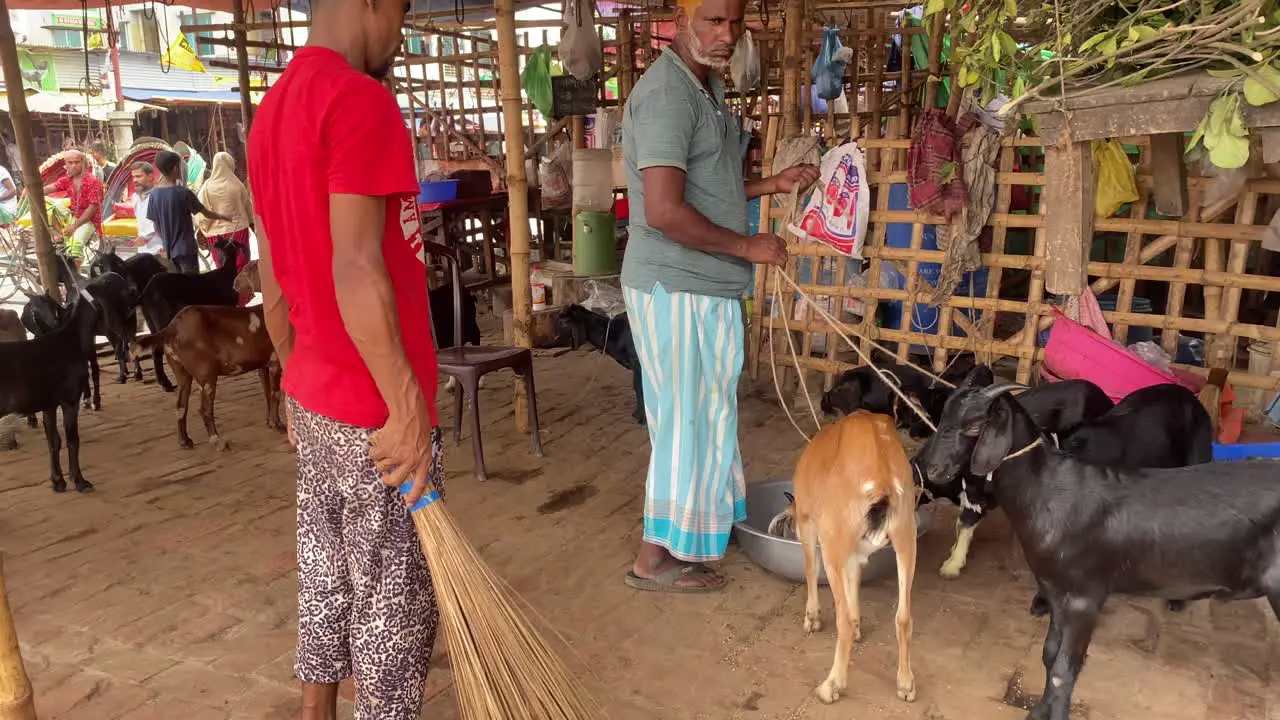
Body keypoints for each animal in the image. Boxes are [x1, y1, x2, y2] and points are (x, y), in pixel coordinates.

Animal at [132, 303, 282, 448]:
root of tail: (171, 328)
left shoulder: (263, 366)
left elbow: (267, 394)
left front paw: (269, 422)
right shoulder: (276, 363)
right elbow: (275, 394)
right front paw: (278, 425)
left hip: (182, 373)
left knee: (180, 406)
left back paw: (185, 441)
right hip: (206, 375)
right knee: (204, 409)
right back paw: (217, 441)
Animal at [137, 238, 240, 389]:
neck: (226, 271)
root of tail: (145, 293)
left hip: (151, 321)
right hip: (162, 318)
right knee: (157, 348)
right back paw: (166, 384)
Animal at [788, 412, 921, 702]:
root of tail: (881, 479)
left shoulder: (808, 521)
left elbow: (810, 567)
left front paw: (812, 619)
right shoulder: (857, 550)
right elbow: (855, 580)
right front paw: (861, 626)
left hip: (832, 540)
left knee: (843, 620)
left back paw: (830, 687)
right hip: (907, 536)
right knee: (904, 618)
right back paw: (906, 685)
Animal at [916, 376, 1280, 717]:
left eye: (975, 426)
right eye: (943, 415)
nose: (933, 469)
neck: (1049, 488)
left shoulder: (1085, 598)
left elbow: (1064, 670)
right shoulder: (1057, 592)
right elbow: (1049, 655)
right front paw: (1040, 711)